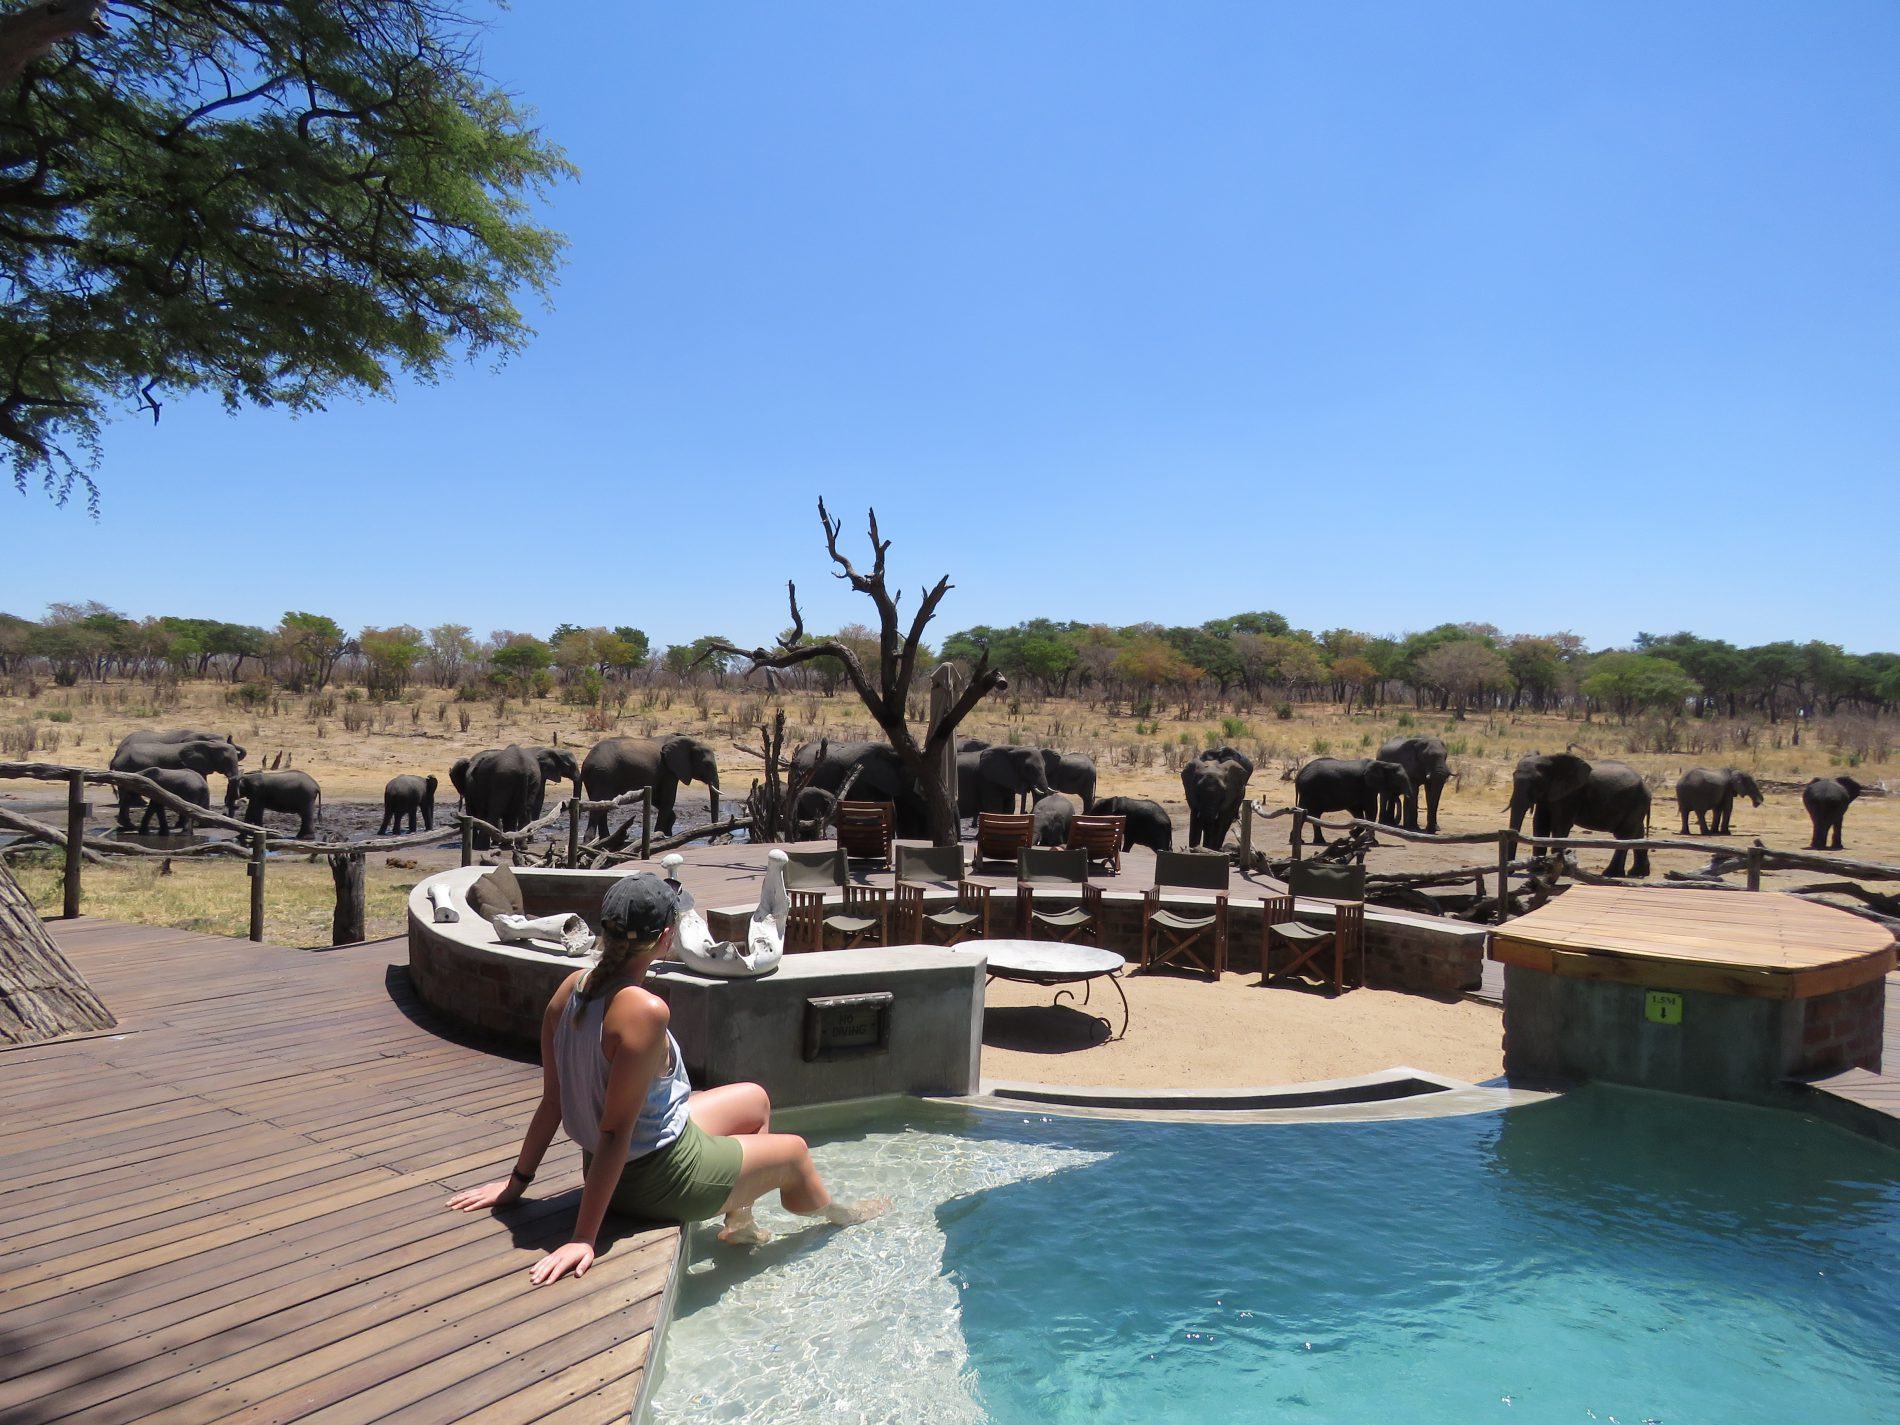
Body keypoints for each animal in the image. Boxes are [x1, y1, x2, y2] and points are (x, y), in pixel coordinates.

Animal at [110, 731, 245, 829]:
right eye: (225, 760)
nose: (228, 812)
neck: (208, 745)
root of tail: (116, 756)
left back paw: (128, 824)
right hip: (126, 768)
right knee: (126, 795)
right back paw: (129, 824)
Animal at [580, 735, 721, 839]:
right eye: (707, 764)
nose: (710, 841)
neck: (692, 741)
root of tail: (586, 763)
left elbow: (657, 798)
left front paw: (667, 833)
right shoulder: (668, 770)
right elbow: (668, 799)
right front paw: (658, 835)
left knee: (602, 806)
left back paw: (605, 840)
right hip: (603, 776)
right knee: (598, 806)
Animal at [1508, 752, 1652, 878]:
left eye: (1537, 781)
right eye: (1513, 776)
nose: (1510, 871)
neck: (1551, 760)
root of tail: (1647, 786)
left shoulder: (1571, 795)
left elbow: (1560, 825)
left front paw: (1555, 869)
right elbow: (1541, 823)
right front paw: (1536, 870)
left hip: (1636, 802)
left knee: (1624, 835)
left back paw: (1611, 873)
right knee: (1637, 833)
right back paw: (1637, 873)